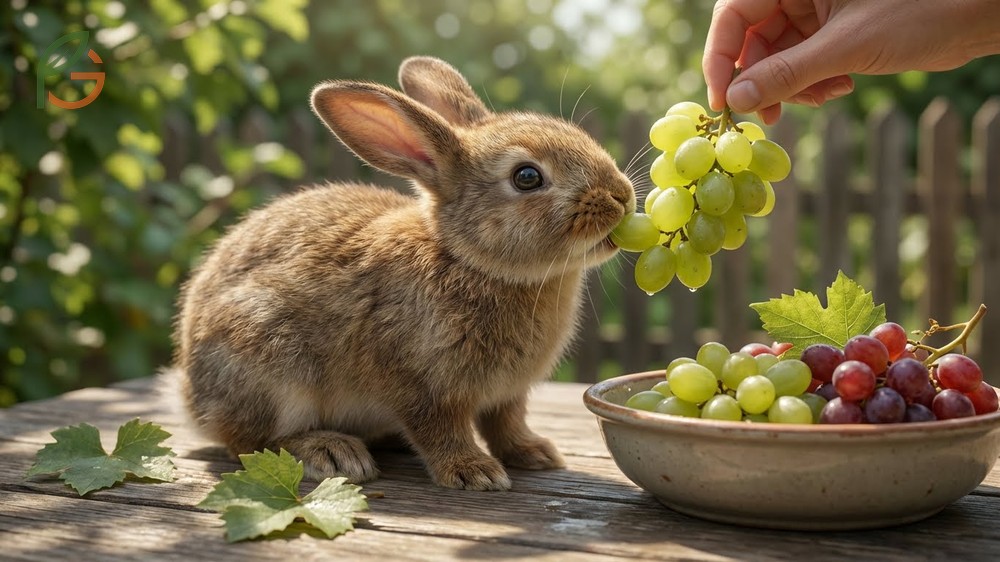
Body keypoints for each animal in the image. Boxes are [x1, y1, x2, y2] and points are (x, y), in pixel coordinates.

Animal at [173, 56, 635, 491]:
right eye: (526, 177)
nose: (621, 196)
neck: (467, 260)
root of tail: (191, 401)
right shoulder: (418, 385)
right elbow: (439, 430)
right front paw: (474, 472)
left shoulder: (506, 395)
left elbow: (506, 424)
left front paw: (535, 453)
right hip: (267, 362)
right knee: (250, 442)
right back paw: (331, 452)